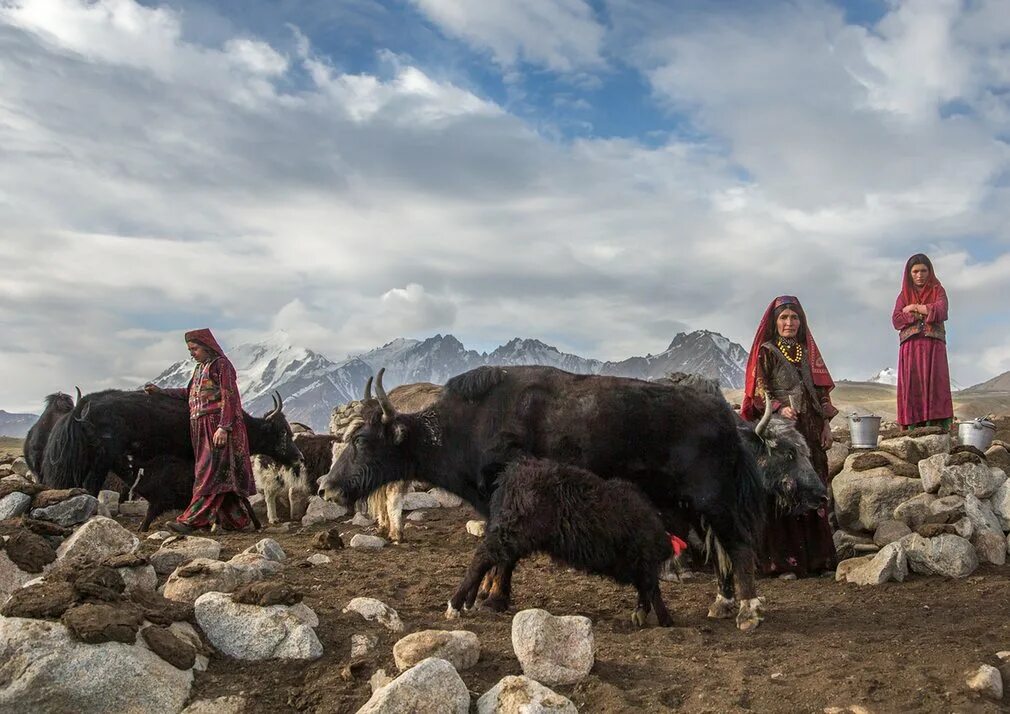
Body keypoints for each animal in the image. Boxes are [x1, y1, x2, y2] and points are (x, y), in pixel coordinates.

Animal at [448, 460, 670, 630]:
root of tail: (510, 475)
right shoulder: (644, 558)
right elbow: (652, 587)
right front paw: (662, 618)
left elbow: (650, 587)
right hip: (512, 533)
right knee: (483, 557)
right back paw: (455, 606)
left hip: (509, 534)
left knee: (491, 560)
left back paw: (474, 602)